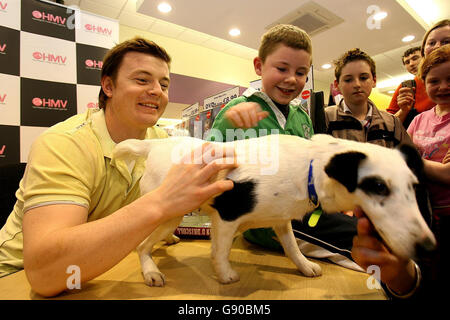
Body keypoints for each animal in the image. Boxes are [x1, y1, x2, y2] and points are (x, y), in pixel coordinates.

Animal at [112, 134, 436, 286]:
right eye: (379, 186)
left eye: (413, 186)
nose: (429, 247)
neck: (310, 167)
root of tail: (153, 144)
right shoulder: (227, 216)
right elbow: (220, 252)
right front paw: (225, 274)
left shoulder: (281, 221)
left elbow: (292, 248)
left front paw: (304, 266)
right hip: (172, 210)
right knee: (141, 245)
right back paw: (151, 270)